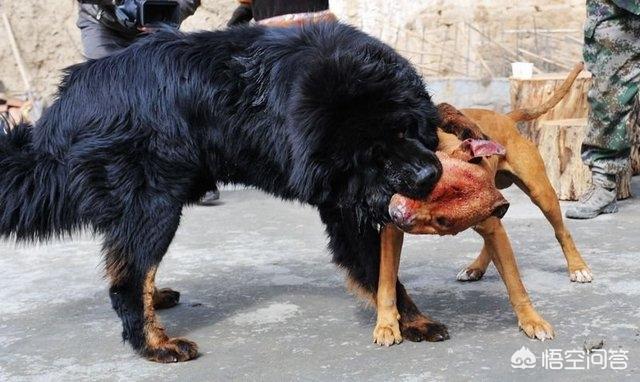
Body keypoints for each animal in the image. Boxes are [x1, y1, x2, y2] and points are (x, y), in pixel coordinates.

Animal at [376, 63, 592, 346]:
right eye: (429, 187)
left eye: (442, 222)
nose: (398, 214)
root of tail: (507, 118)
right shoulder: (391, 231)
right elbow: (386, 281)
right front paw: (386, 324)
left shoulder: (491, 222)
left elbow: (515, 283)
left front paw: (532, 320)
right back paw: (475, 268)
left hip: (541, 195)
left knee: (561, 231)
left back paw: (578, 268)